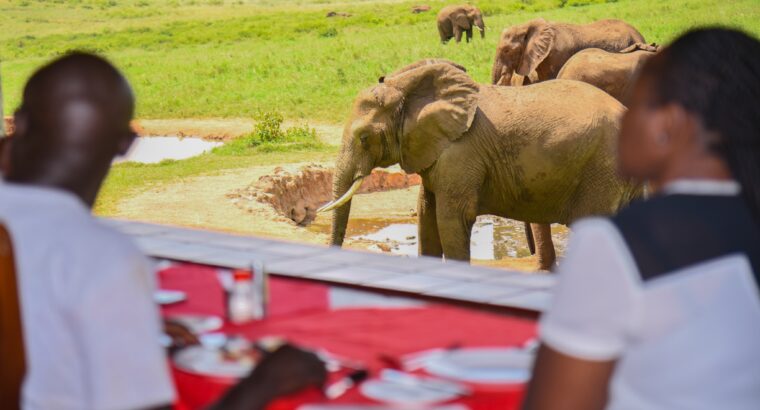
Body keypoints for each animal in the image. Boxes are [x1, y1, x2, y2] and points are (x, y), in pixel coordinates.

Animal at [320, 58, 640, 270]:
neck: (406, 89)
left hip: (603, 168)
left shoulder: (460, 155)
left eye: (363, 138)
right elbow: (426, 213)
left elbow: (451, 219)